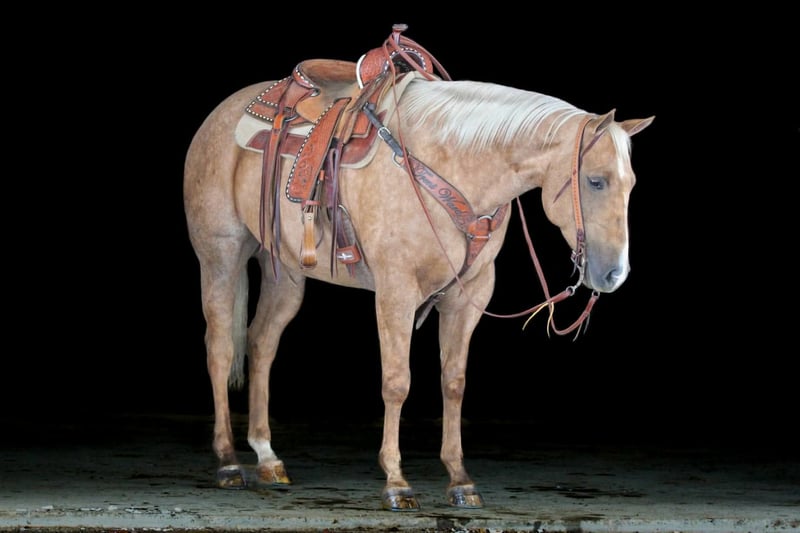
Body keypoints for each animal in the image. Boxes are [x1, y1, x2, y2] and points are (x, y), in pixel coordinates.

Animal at [183, 25, 654, 511]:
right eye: (595, 181)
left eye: (631, 183)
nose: (615, 274)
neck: (452, 165)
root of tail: (221, 114)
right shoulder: (396, 291)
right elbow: (397, 382)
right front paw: (396, 482)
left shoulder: (470, 294)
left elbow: (454, 381)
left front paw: (460, 480)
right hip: (220, 257)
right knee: (220, 348)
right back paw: (228, 463)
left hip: (286, 274)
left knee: (260, 344)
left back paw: (267, 457)